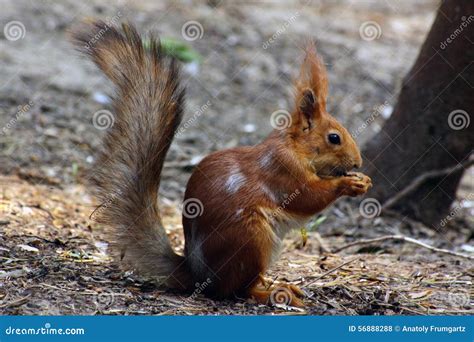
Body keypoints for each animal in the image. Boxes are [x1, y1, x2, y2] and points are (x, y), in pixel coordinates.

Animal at [73, 21, 370, 308]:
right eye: (334, 138)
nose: (358, 162)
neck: (296, 148)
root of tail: (198, 275)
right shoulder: (283, 171)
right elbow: (308, 197)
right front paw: (349, 183)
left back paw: (276, 284)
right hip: (250, 239)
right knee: (237, 290)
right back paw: (271, 292)